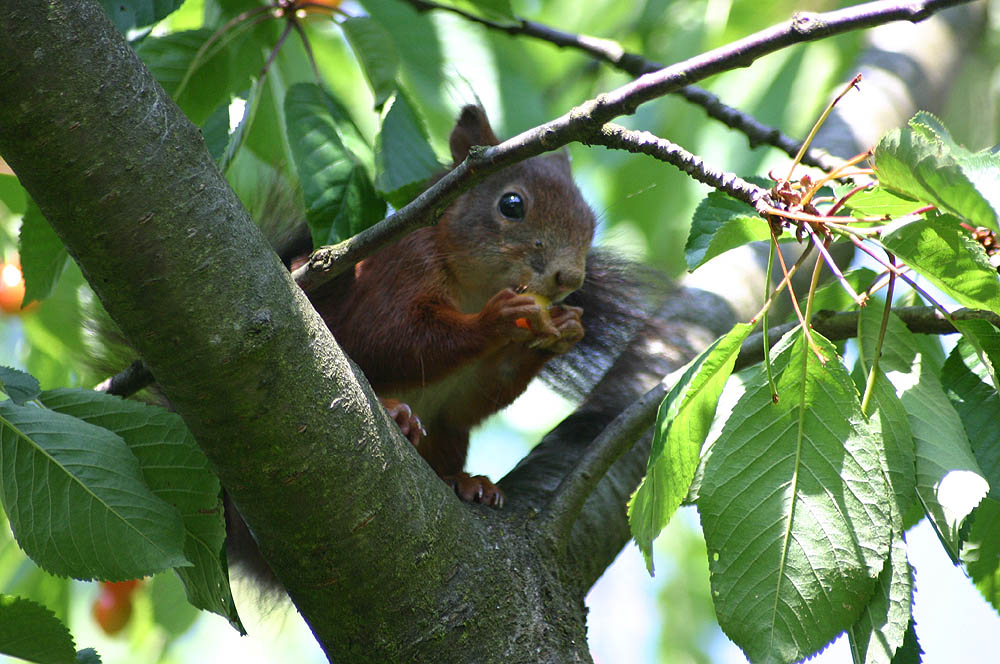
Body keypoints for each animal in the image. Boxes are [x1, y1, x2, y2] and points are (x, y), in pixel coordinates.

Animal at [298, 106, 592, 506]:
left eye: (590, 221)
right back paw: (398, 415)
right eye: (511, 204)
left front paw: (564, 329)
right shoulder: (402, 266)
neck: (474, 292)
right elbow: (387, 338)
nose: (570, 279)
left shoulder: (458, 403)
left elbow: (469, 402)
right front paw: (495, 321)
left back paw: (467, 482)